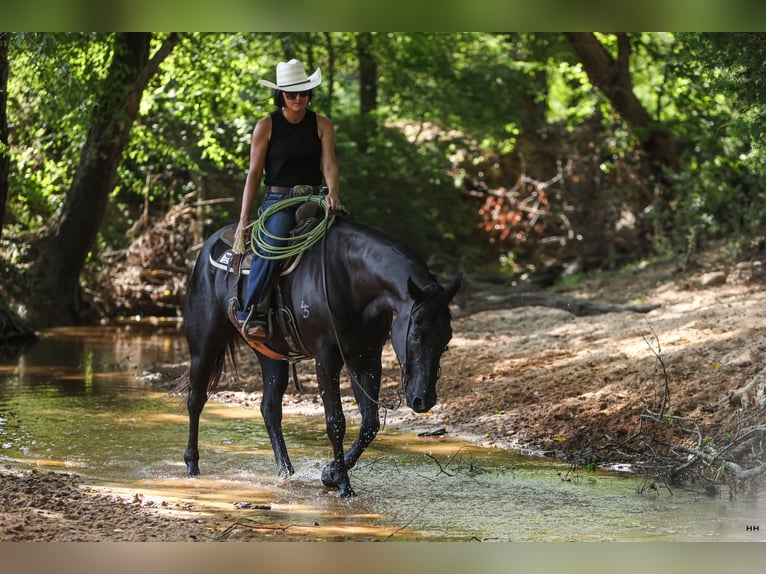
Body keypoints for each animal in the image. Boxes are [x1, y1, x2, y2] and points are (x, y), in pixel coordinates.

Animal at [182, 216, 462, 500]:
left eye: (447, 339)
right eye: (415, 335)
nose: (423, 399)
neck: (353, 281)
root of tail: (210, 245)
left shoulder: (366, 358)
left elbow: (369, 423)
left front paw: (330, 474)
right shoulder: (326, 359)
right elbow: (335, 422)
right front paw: (343, 485)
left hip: (271, 355)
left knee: (270, 409)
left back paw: (286, 473)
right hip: (204, 347)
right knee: (196, 399)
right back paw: (192, 464)